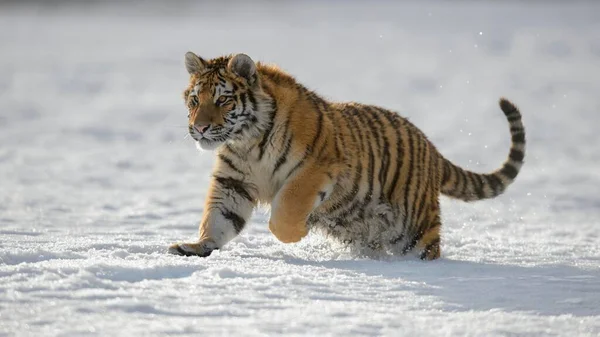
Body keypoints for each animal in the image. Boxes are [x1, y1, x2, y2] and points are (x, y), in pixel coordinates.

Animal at [168, 51, 524, 260]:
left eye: (223, 100)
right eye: (195, 100)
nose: (199, 128)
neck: (247, 141)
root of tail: (431, 148)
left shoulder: (315, 169)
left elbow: (287, 207)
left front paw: (295, 234)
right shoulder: (233, 182)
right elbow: (217, 218)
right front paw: (196, 246)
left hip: (417, 226)